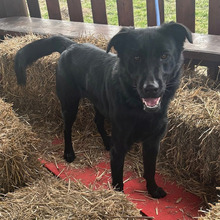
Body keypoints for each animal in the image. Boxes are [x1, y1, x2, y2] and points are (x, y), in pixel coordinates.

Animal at [14, 21, 192, 198]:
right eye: (136, 58)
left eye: (164, 56)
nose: (151, 89)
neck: (140, 110)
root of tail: (71, 45)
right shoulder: (119, 147)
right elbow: (118, 179)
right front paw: (119, 199)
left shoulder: (153, 143)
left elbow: (150, 170)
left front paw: (153, 189)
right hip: (70, 104)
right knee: (67, 128)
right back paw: (69, 152)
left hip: (100, 102)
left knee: (97, 121)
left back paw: (107, 141)